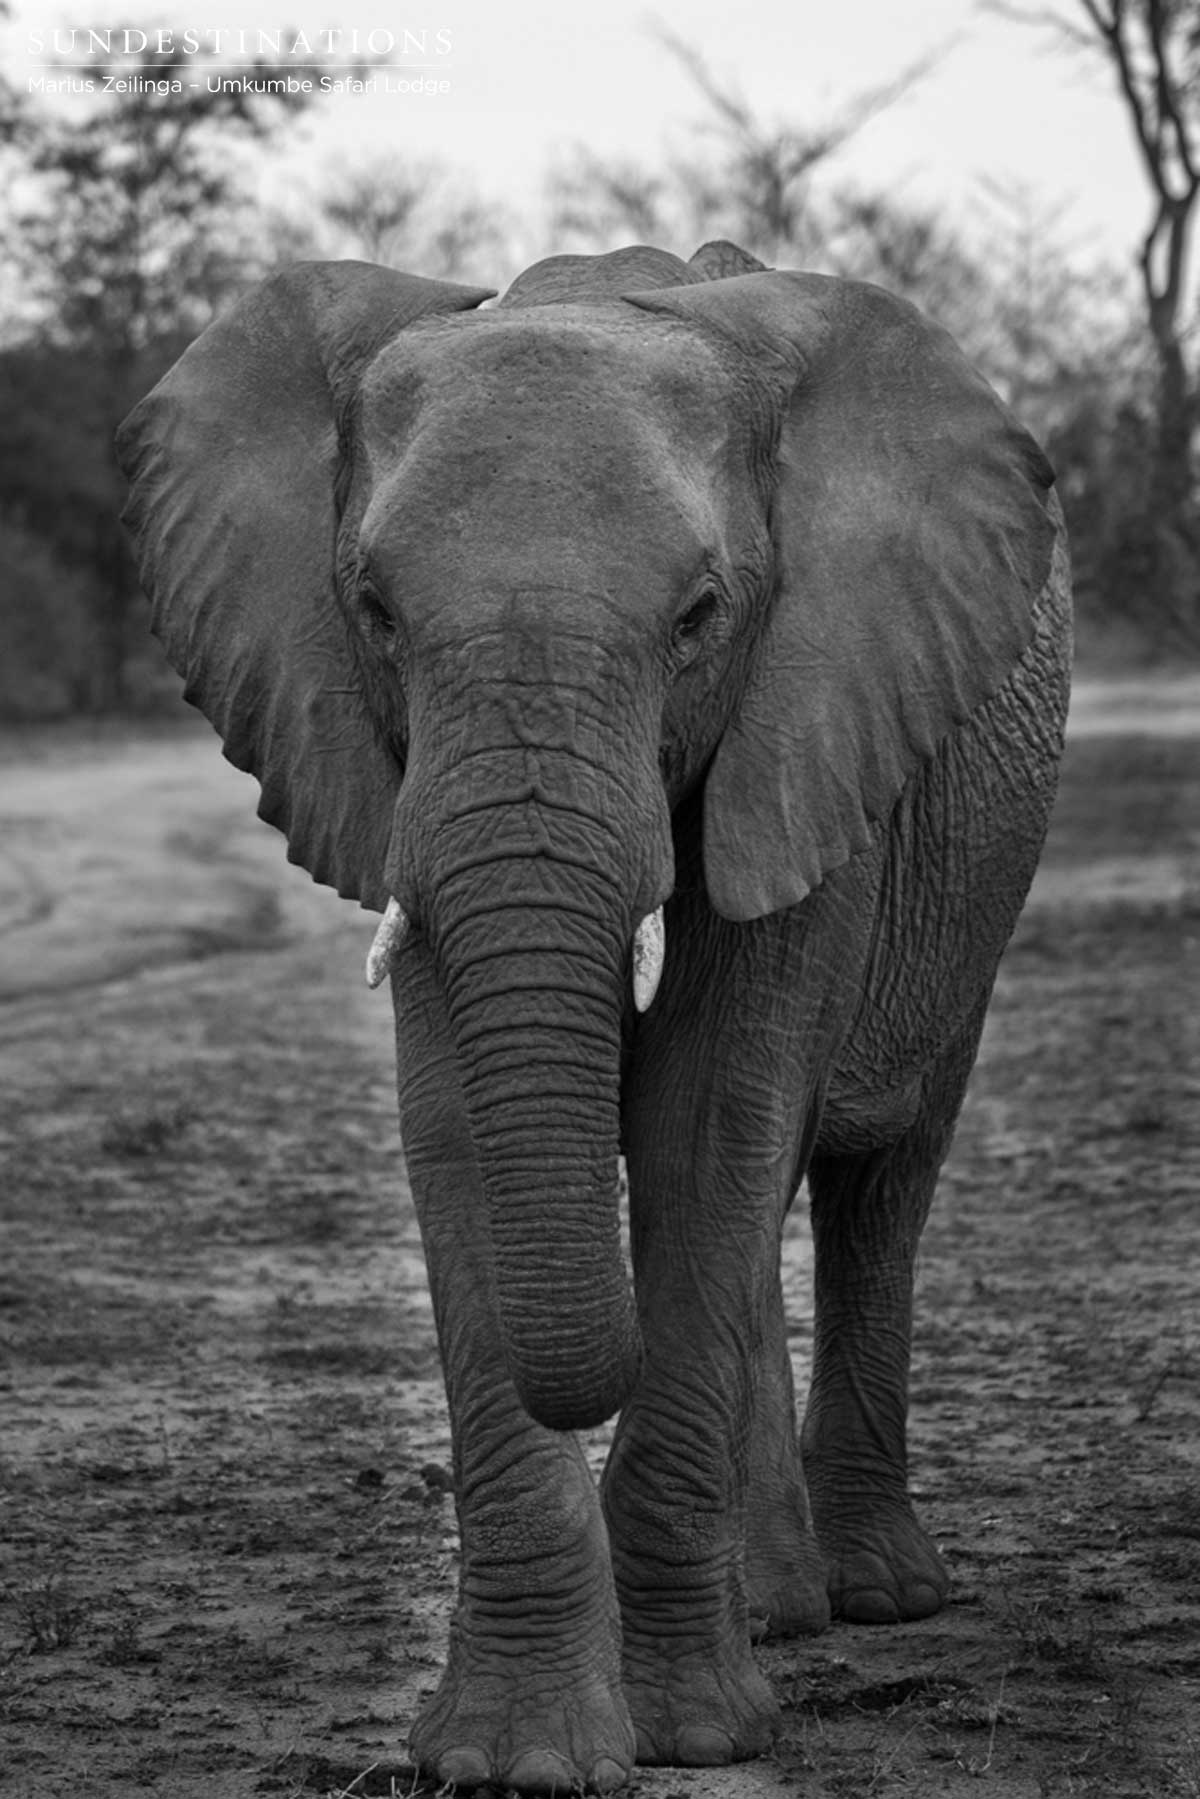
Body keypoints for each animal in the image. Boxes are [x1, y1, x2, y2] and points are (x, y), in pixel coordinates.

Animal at [116, 238, 1072, 1795]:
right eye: (374, 611)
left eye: (699, 618)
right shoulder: (400, 779)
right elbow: (456, 1131)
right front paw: (511, 1758)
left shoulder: (807, 724)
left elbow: (711, 1120)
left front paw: (695, 1736)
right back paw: (779, 1607)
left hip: (976, 881)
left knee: (874, 1177)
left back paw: (869, 1597)